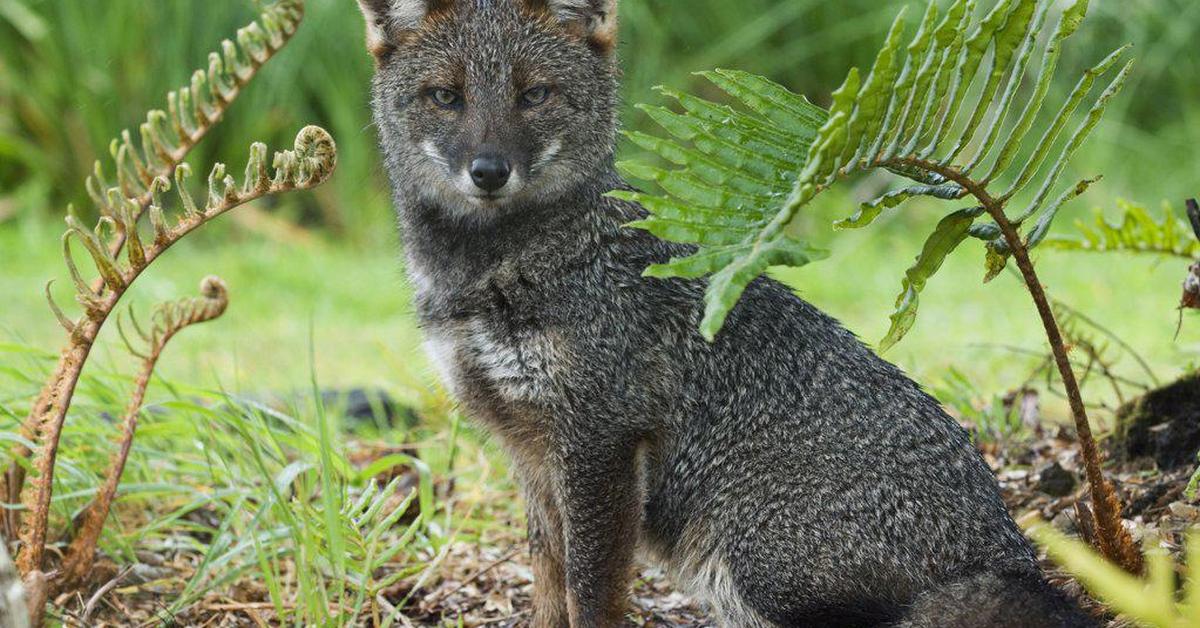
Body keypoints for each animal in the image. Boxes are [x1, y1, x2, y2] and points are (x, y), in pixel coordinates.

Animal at [352, 1, 1099, 628]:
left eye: (533, 95)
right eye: (446, 97)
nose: (488, 170)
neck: (487, 276)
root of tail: (1009, 556)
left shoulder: (600, 441)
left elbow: (591, 597)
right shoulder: (531, 453)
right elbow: (549, 591)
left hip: (753, 564)